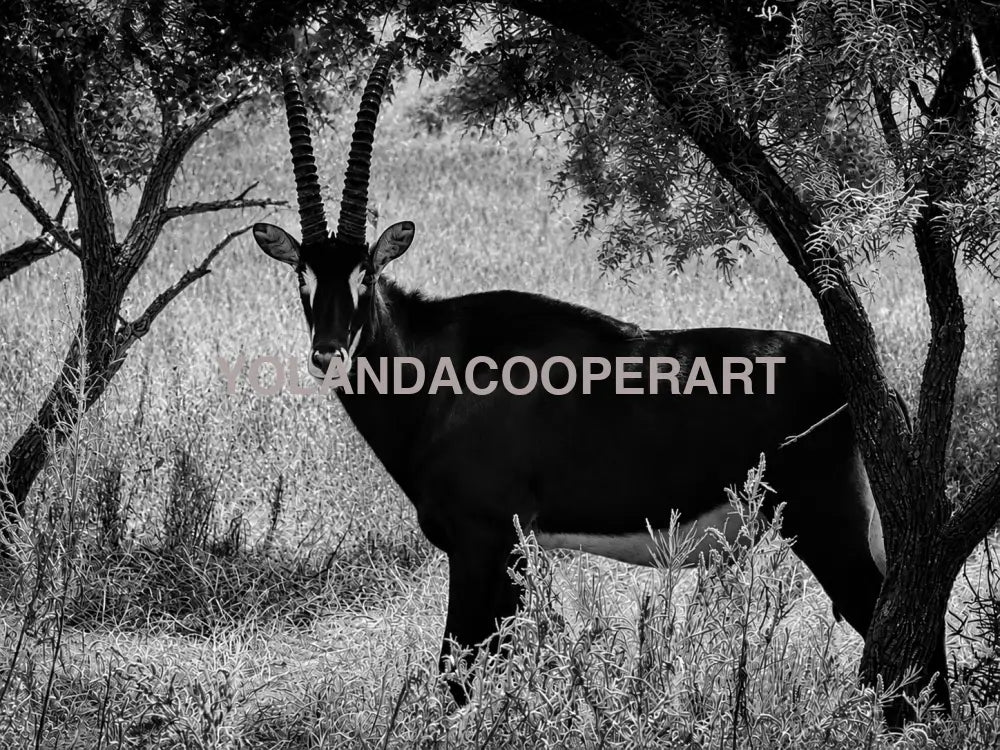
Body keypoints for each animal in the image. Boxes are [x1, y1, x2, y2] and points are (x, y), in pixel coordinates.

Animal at [252, 44, 942, 704]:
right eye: (302, 276)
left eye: (365, 275)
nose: (328, 353)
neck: (441, 371)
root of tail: (860, 382)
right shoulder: (516, 552)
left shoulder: (482, 543)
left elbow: (457, 671)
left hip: (826, 525)